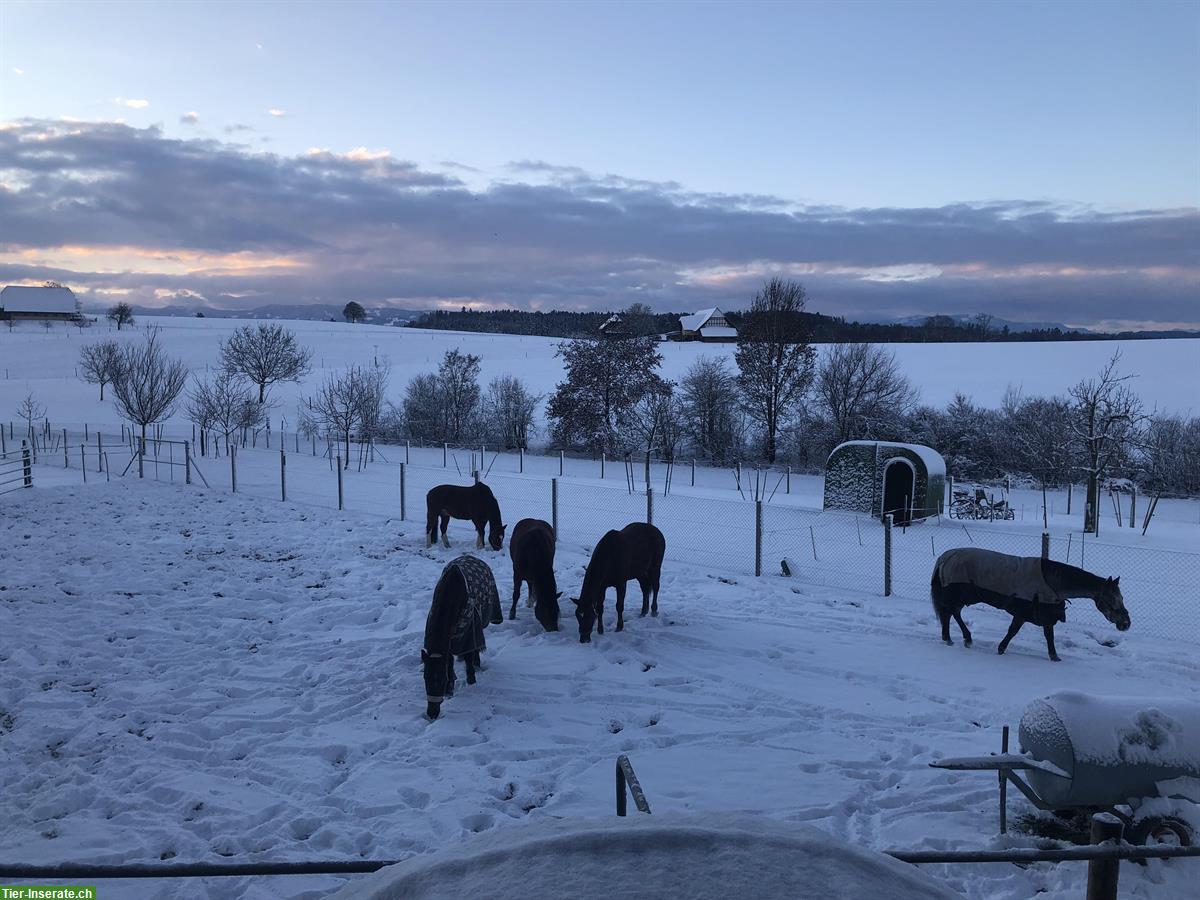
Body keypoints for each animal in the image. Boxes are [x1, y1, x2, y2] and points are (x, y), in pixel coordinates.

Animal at [424, 554, 504, 724]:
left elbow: (469, 653)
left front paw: (471, 681)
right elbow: (449, 660)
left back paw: (477, 663)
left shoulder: (470, 627)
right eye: (425, 677)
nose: (432, 714)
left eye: (441, 680)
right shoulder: (449, 638)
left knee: (475, 649)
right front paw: (450, 690)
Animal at [931, 547, 1128, 667]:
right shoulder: (1025, 614)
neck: (1052, 582)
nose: (1126, 623)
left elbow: (1045, 636)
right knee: (950, 613)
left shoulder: (1041, 616)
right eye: (1110, 597)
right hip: (958, 595)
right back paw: (958, 639)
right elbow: (1015, 632)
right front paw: (1002, 649)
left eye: (1121, 597)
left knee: (951, 613)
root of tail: (945, 557)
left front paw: (1054, 657)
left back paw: (956, 638)